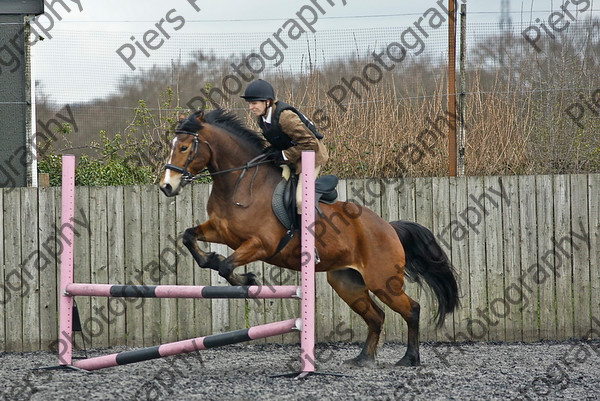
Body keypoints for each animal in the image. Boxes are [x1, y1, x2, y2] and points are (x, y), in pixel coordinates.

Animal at [157, 108, 458, 366]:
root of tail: (389, 227)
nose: (167, 187)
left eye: (184, 147)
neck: (240, 183)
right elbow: (190, 238)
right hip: (347, 282)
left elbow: (226, 266)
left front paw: (248, 280)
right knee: (376, 316)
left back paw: (409, 358)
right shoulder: (221, 231)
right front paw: (211, 258)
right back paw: (363, 359)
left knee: (412, 309)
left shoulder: (261, 244)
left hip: (382, 281)